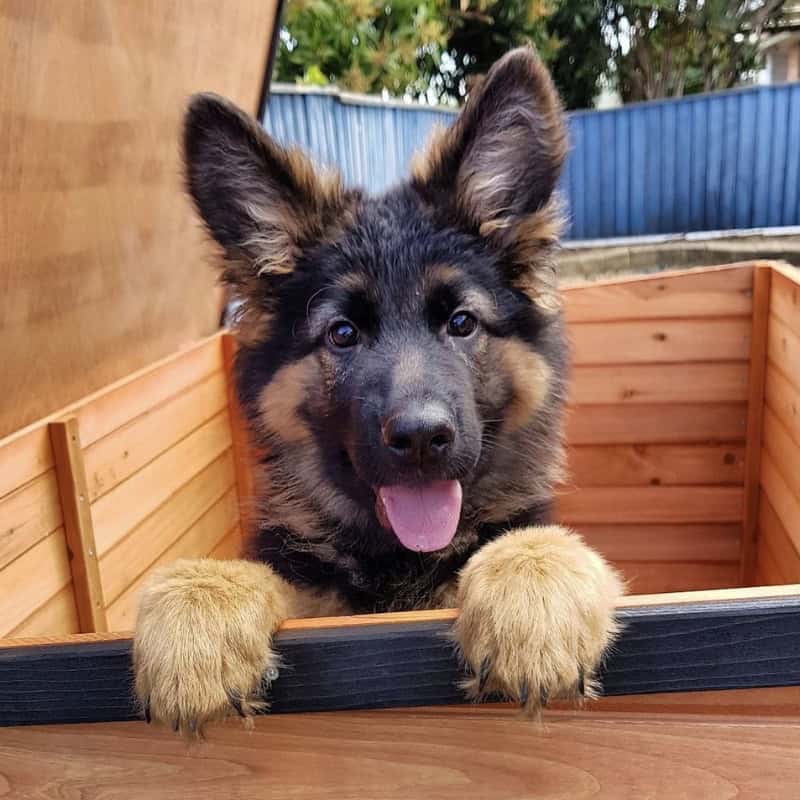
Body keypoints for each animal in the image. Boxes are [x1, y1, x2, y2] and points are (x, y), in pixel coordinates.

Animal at [133, 48, 624, 736]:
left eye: (461, 322)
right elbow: (264, 572)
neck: (398, 560)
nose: (421, 438)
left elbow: (531, 542)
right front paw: (197, 610)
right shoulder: (312, 585)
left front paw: (535, 591)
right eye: (342, 334)